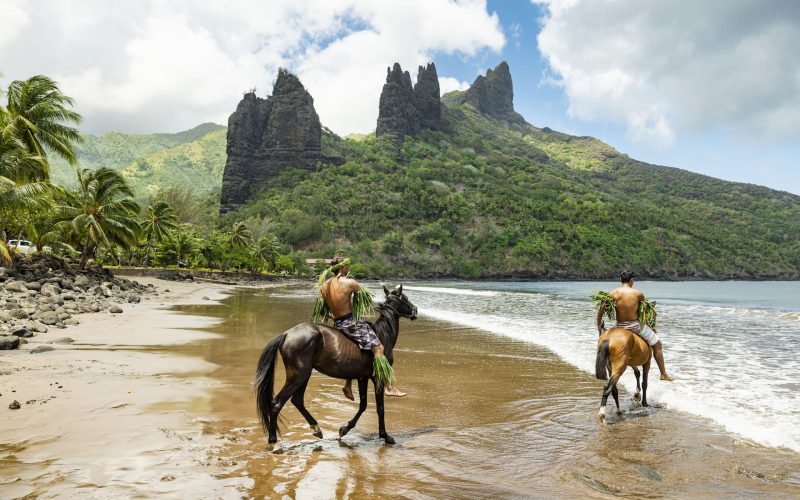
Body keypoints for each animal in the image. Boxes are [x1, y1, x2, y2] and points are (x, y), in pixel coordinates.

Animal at [255, 286, 418, 446]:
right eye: (405, 298)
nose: (415, 310)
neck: (383, 334)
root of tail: (287, 334)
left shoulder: (362, 378)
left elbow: (363, 405)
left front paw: (344, 429)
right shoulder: (377, 378)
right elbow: (380, 408)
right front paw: (385, 435)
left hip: (304, 375)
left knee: (297, 401)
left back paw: (316, 429)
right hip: (298, 376)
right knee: (277, 404)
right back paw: (273, 439)